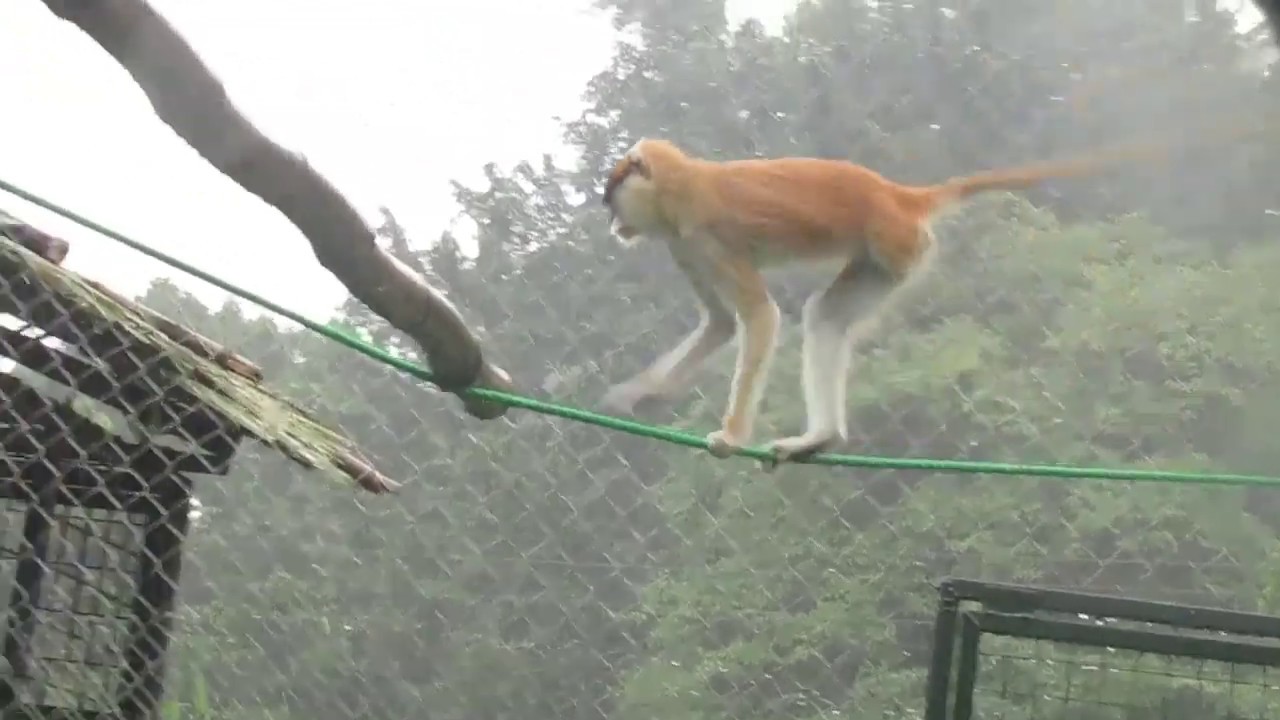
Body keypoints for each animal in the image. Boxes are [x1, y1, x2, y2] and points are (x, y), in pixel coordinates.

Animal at [597, 136, 1185, 468]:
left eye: (612, 196)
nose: (613, 224)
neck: (682, 184)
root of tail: (898, 195)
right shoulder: (683, 245)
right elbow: (720, 324)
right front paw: (638, 393)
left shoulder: (705, 236)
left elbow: (759, 318)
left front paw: (731, 436)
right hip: (886, 256)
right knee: (826, 316)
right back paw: (820, 437)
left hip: (897, 243)